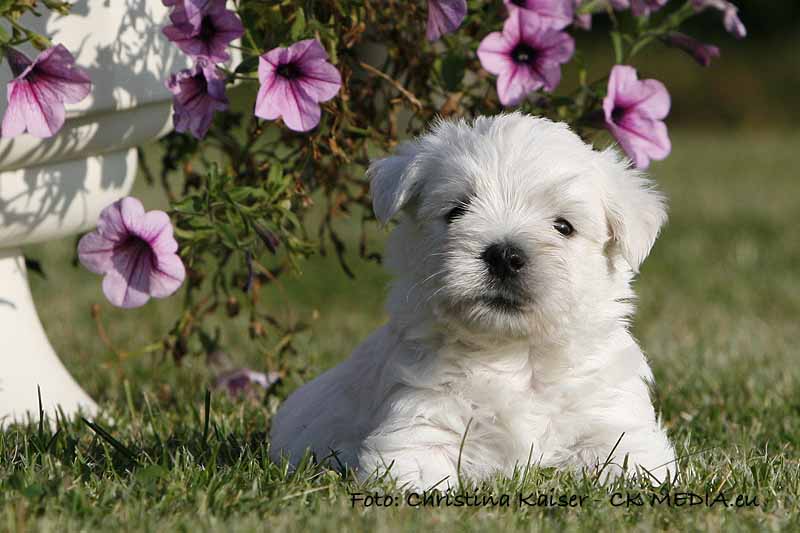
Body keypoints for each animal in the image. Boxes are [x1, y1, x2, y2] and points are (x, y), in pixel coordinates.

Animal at [268, 114, 676, 488]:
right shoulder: (418, 426)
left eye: (564, 226)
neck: (517, 354)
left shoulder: (615, 423)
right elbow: (419, 479)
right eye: (456, 211)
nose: (504, 256)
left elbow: (632, 463)